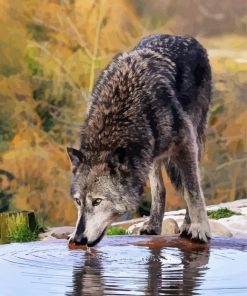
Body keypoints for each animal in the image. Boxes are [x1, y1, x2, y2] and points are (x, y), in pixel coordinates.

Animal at [67, 34, 212, 247]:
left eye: (97, 201)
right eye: (78, 201)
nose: (78, 239)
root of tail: (184, 37)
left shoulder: (186, 144)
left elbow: (193, 191)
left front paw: (199, 228)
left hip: (194, 138)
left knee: (192, 186)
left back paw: (187, 225)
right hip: (151, 154)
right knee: (160, 190)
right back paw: (153, 225)